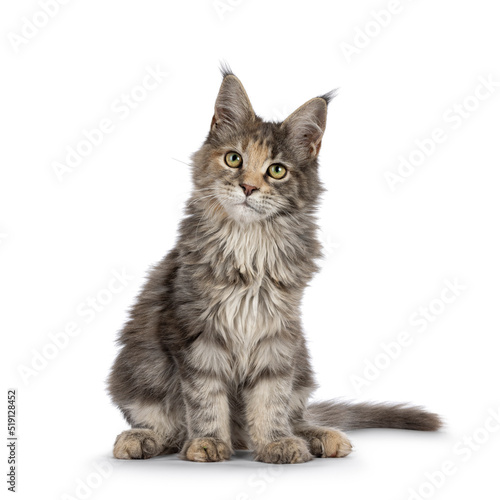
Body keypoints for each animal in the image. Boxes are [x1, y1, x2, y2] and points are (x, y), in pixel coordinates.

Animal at [107, 66, 440, 464]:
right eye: (234, 159)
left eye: (277, 170)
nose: (249, 187)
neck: (250, 245)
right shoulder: (195, 333)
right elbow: (205, 398)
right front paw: (208, 441)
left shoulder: (278, 333)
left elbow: (271, 398)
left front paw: (276, 441)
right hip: (137, 372)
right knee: (164, 424)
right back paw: (143, 438)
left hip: (301, 359)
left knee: (295, 416)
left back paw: (317, 436)